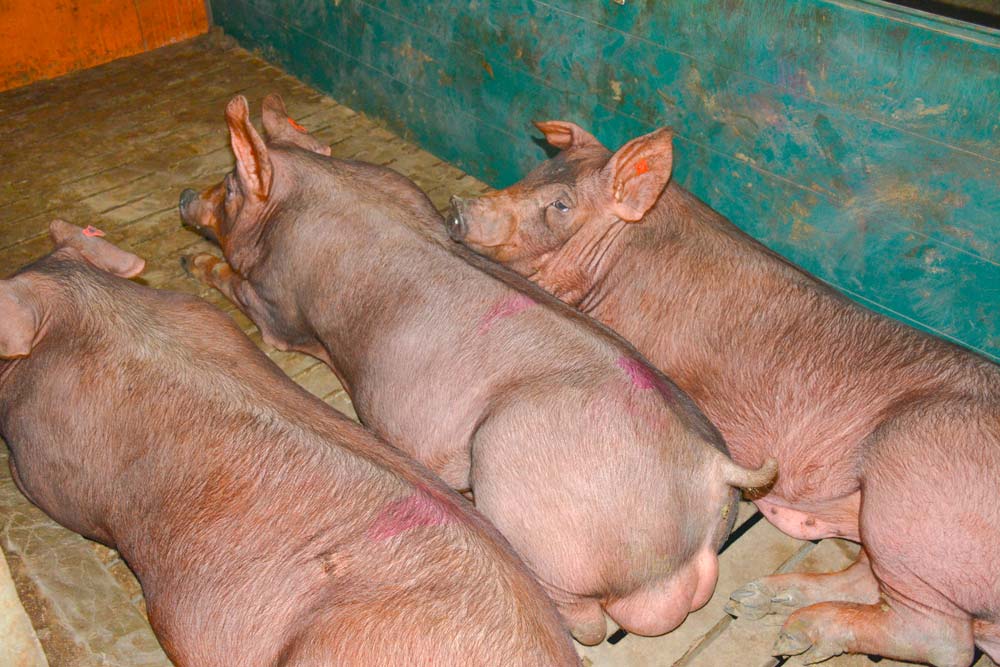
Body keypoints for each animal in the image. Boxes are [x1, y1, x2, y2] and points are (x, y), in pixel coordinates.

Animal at [176, 95, 776, 648]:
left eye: (230, 187)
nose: (184, 197)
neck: (313, 187)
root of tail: (710, 466)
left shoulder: (276, 309)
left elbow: (239, 288)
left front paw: (190, 262)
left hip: (514, 473)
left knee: (586, 622)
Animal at [448, 120, 1000, 667]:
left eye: (561, 204)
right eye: (535, 172)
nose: (458, 206)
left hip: (906, 484)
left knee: (941, 638)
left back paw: (795, 633)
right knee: (871, 581)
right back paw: (757, 601)